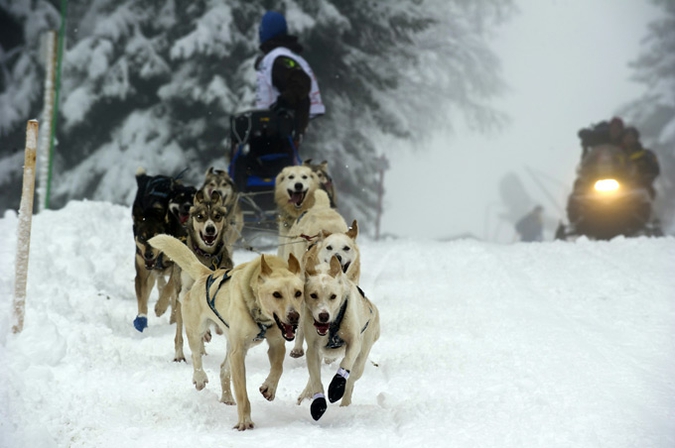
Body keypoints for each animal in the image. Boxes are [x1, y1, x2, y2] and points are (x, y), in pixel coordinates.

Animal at [151, 234, 306, 430]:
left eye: (298, 293)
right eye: (276, 294)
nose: (294, 316)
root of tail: (206, 274)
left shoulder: (276, 344)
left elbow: (278, 368)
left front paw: (269, 387)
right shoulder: (238, 353)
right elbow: (242, 392)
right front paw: (245, 421)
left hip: (232, 343)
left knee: (224, 369)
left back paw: (226, 397)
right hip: (197, 330)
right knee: (196, 354)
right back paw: (200, 377)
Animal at [298, 254, 380, 422]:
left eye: (333, 296)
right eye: (313, 295)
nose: (323, 315)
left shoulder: (354, 342)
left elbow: (345, 363)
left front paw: (336, 387)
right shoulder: (313, 350)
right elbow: (315, 378)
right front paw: (318, 403)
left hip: (361, 359)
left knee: (351, 381)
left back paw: (345, 403)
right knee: (313, 377)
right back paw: (306, 393)